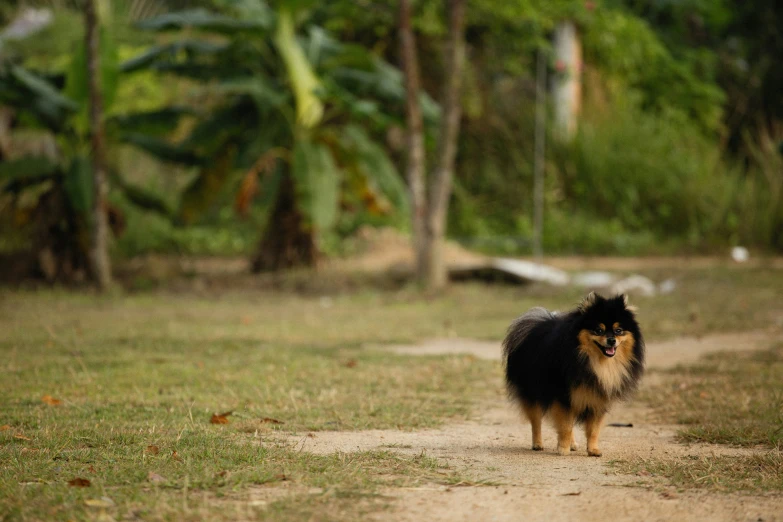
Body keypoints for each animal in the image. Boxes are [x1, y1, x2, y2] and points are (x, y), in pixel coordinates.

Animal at [506, 292, 648, 456]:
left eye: (618, 330)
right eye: (598, 330)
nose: (612, 340)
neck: (596, 363)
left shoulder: (596, 398)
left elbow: (593, 430)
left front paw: (593, 450)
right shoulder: (563, 397)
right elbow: (565, 426)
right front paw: (563, 449)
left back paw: (572, 444)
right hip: (532, 392)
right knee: (536, 421)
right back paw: (538, 444)